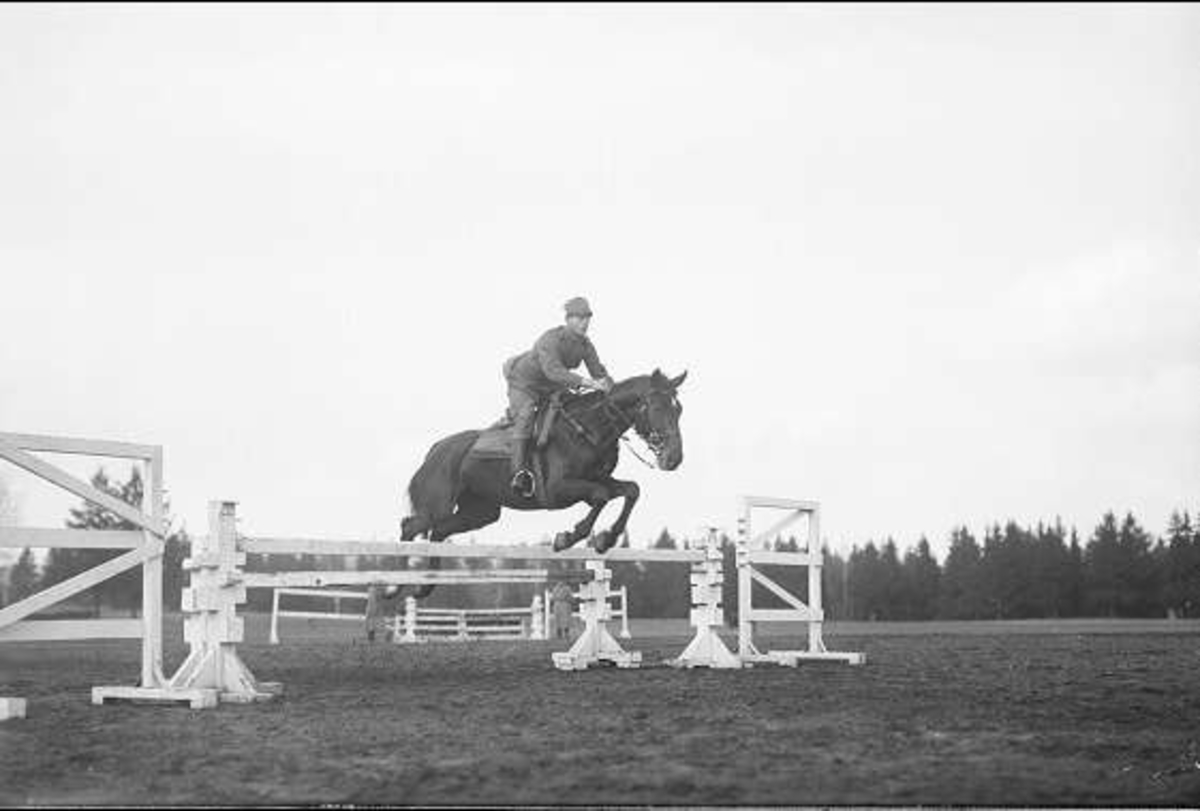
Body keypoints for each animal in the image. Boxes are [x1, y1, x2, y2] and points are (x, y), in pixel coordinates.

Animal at [390, 369, 687, 602]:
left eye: (679, 409)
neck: (588, 429)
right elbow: (600, 496)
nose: (674, 458)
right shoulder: (558, 490)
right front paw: (569, 537)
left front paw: (606, 539)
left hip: (480, 513)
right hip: (437, 504)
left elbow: (630, 490)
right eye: (657, 408)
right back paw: (394, 586)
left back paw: (425, 586)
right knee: (411, 526)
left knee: (439, 531)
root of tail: (436, 449)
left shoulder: (599, 480)